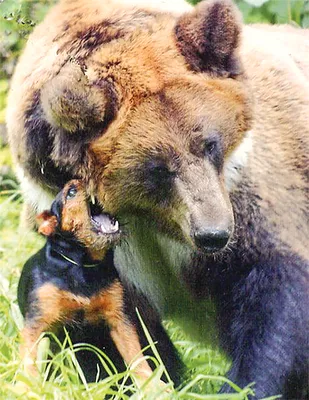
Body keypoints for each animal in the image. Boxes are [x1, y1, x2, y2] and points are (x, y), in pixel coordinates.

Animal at [17, 180, 180, 384]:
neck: (83, 264)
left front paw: (152, 385)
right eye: (71, 192)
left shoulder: (119, 320)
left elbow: (137, 358)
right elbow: (29, 360)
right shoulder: (37, 324)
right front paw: (29, 386)